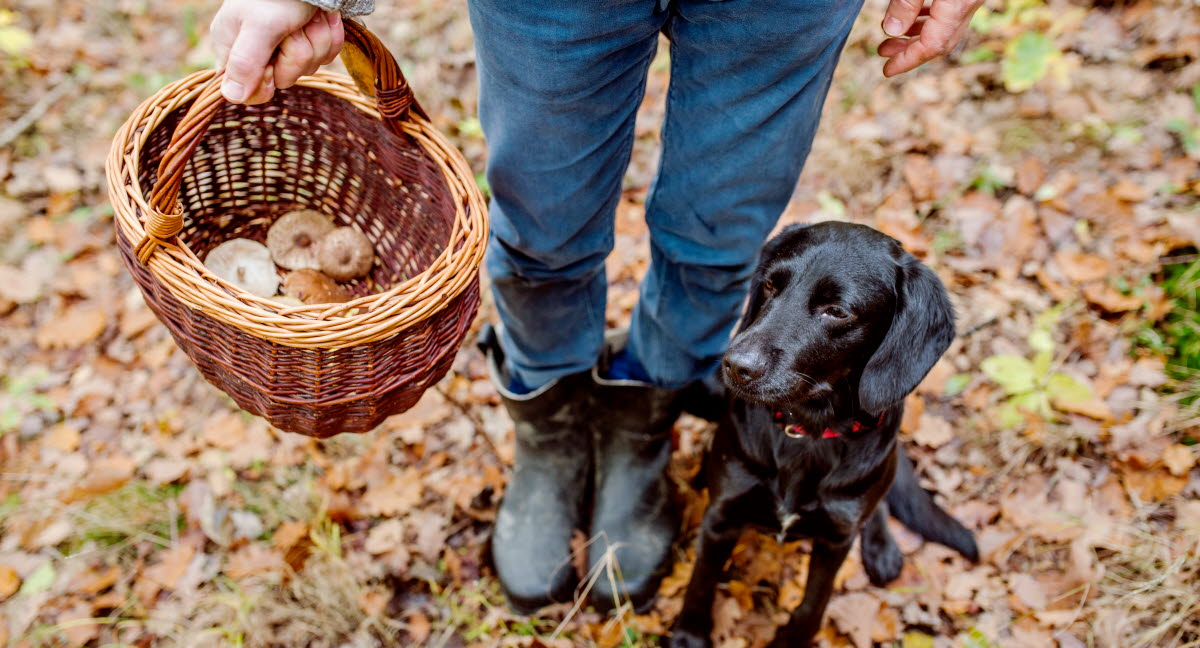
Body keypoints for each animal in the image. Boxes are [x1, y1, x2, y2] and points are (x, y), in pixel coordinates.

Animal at [672, 220, 979, 643]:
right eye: (770, 285)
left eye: (837, 311)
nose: (735, 365)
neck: (807, 431)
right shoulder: (721, 516)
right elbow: (701, 582)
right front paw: (688, 634)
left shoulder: (835, 540)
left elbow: (814, 602)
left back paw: (882, 546)